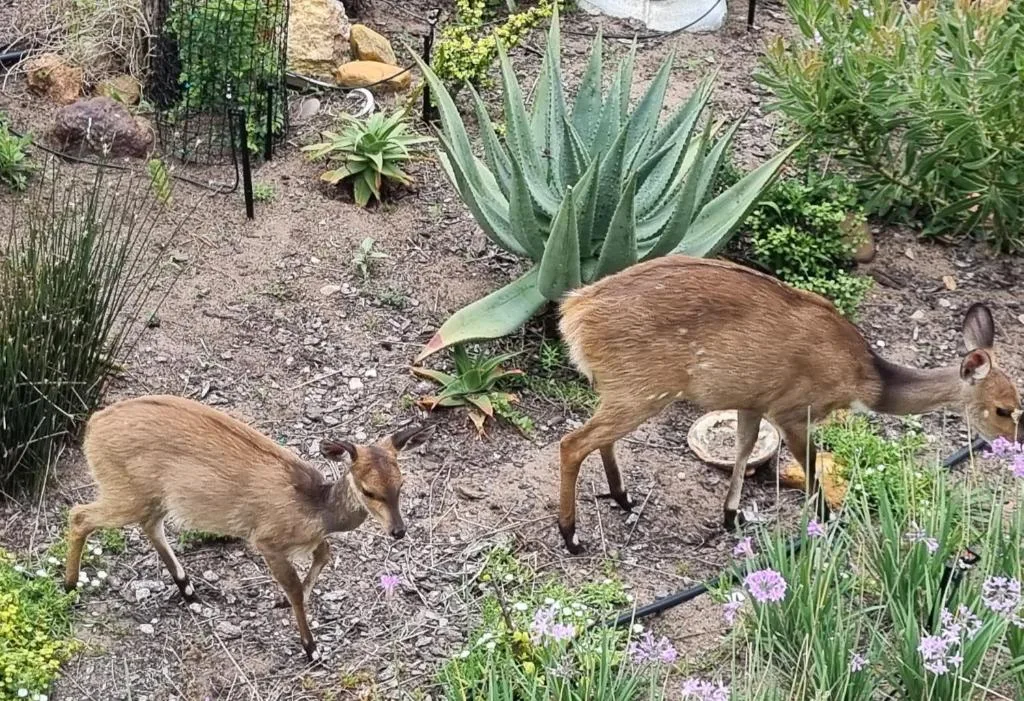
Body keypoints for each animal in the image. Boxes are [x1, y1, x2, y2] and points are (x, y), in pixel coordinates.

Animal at [63, 394, 433, 662]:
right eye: (369, 491)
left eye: (401, 484)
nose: (398, 531)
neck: (316, 508)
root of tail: (92, 426)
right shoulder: (267, 540)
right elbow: (295, 586)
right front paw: (311, 648)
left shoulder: (307, 539)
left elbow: (324, 554)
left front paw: (285, 606)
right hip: (125, 492)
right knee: (79, 515)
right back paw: (69, 586)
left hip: (150, 498)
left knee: (149, 526)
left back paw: (189, 591)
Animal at [555, 255, 1023, 554]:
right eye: (1004, 408)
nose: (1015, 443)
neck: (864, 378)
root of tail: (573, 312)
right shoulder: (793, 411)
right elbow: (813, 470)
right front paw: (828, 524)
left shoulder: (753, 401)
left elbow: (744, 448)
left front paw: (732, 517)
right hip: (643, 390)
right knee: (572, 442)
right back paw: (573, 537)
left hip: (624, 390)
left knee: (599, 438)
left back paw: (623, 497)